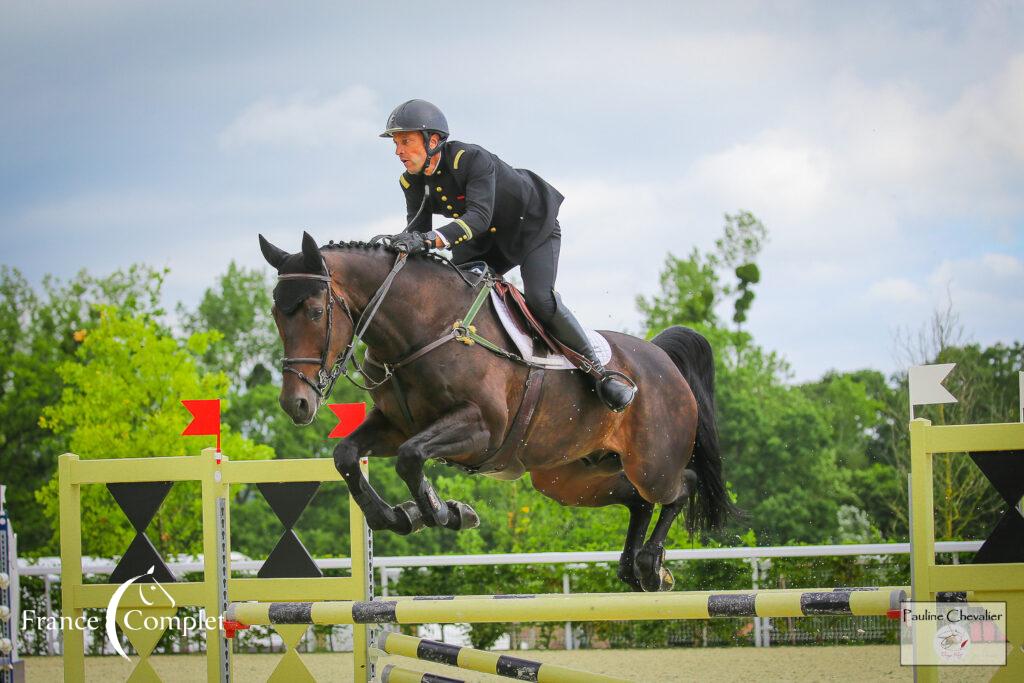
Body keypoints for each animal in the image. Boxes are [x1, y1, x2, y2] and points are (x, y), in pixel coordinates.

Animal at [260, 232, 733, 589]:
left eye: (315, 311)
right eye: (276, 315)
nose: (296, 404)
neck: (425, 328)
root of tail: (662, 357)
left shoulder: (481, 428)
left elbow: (411, 458)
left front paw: (446, 512)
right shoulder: (394, 425)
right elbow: (346, 456)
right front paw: (400, 517)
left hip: (651, 463)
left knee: (680, 487)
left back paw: (652, 566)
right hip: (571, 478)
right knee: (637, 500)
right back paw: (633, 568)